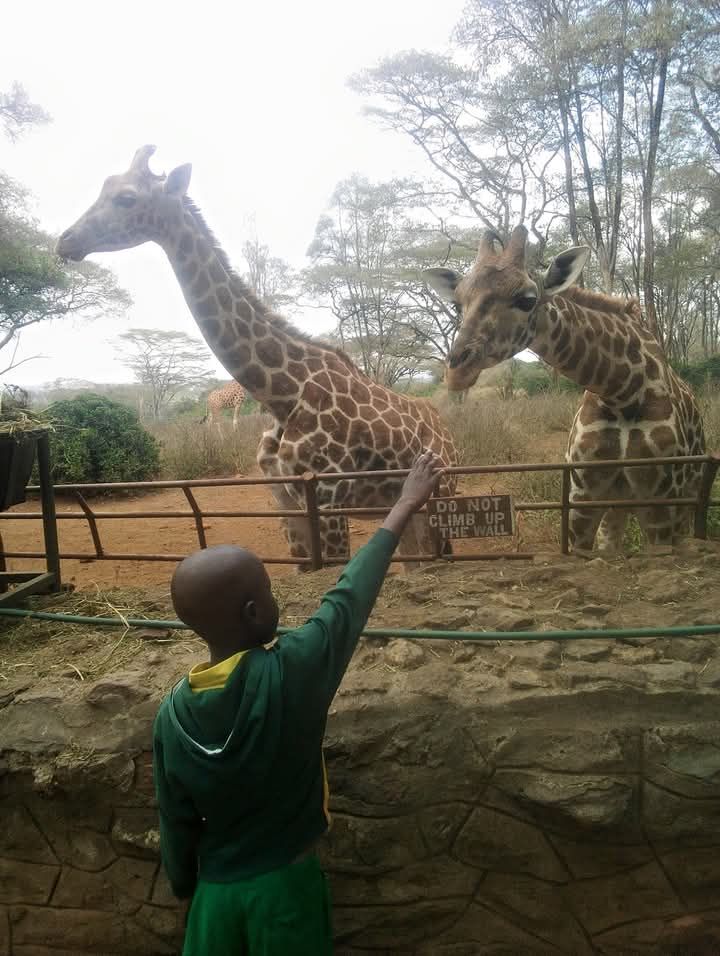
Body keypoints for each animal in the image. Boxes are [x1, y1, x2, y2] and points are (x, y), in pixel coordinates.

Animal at [56, 145, 458, 566]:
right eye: (104, 186)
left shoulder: (329, 499)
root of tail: (449, 435)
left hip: (443, 498)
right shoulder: (285, 501)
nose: (65, 241)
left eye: (127, 197)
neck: (281, 395)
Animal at [426, 225, 706, 552]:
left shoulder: (661, 503)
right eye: (458, 304)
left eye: (527, 299)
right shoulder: (582, 499)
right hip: (618, 503)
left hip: (684, 502)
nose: (457, 372)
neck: (621, 391)